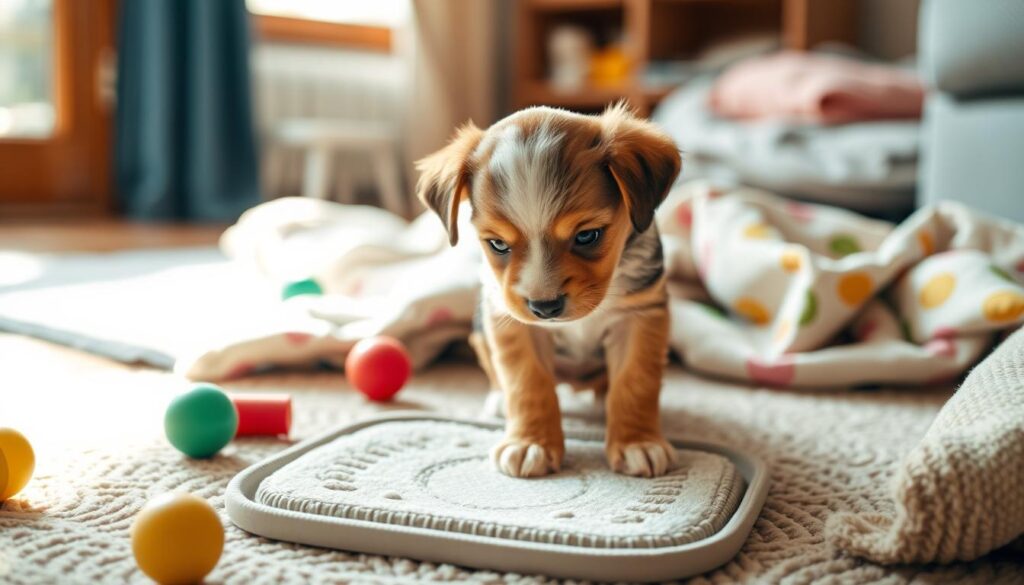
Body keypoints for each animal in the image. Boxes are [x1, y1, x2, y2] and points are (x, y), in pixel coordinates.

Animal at [415, 105, 679, 477]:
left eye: (587, 235)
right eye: (497, 244)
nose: (545, 308)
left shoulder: (639, 316)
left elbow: (635, 383)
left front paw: (637, 442)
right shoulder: (512, 324)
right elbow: (528, 385)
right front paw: (531, 443)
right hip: (480, 330)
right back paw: (499, 401)